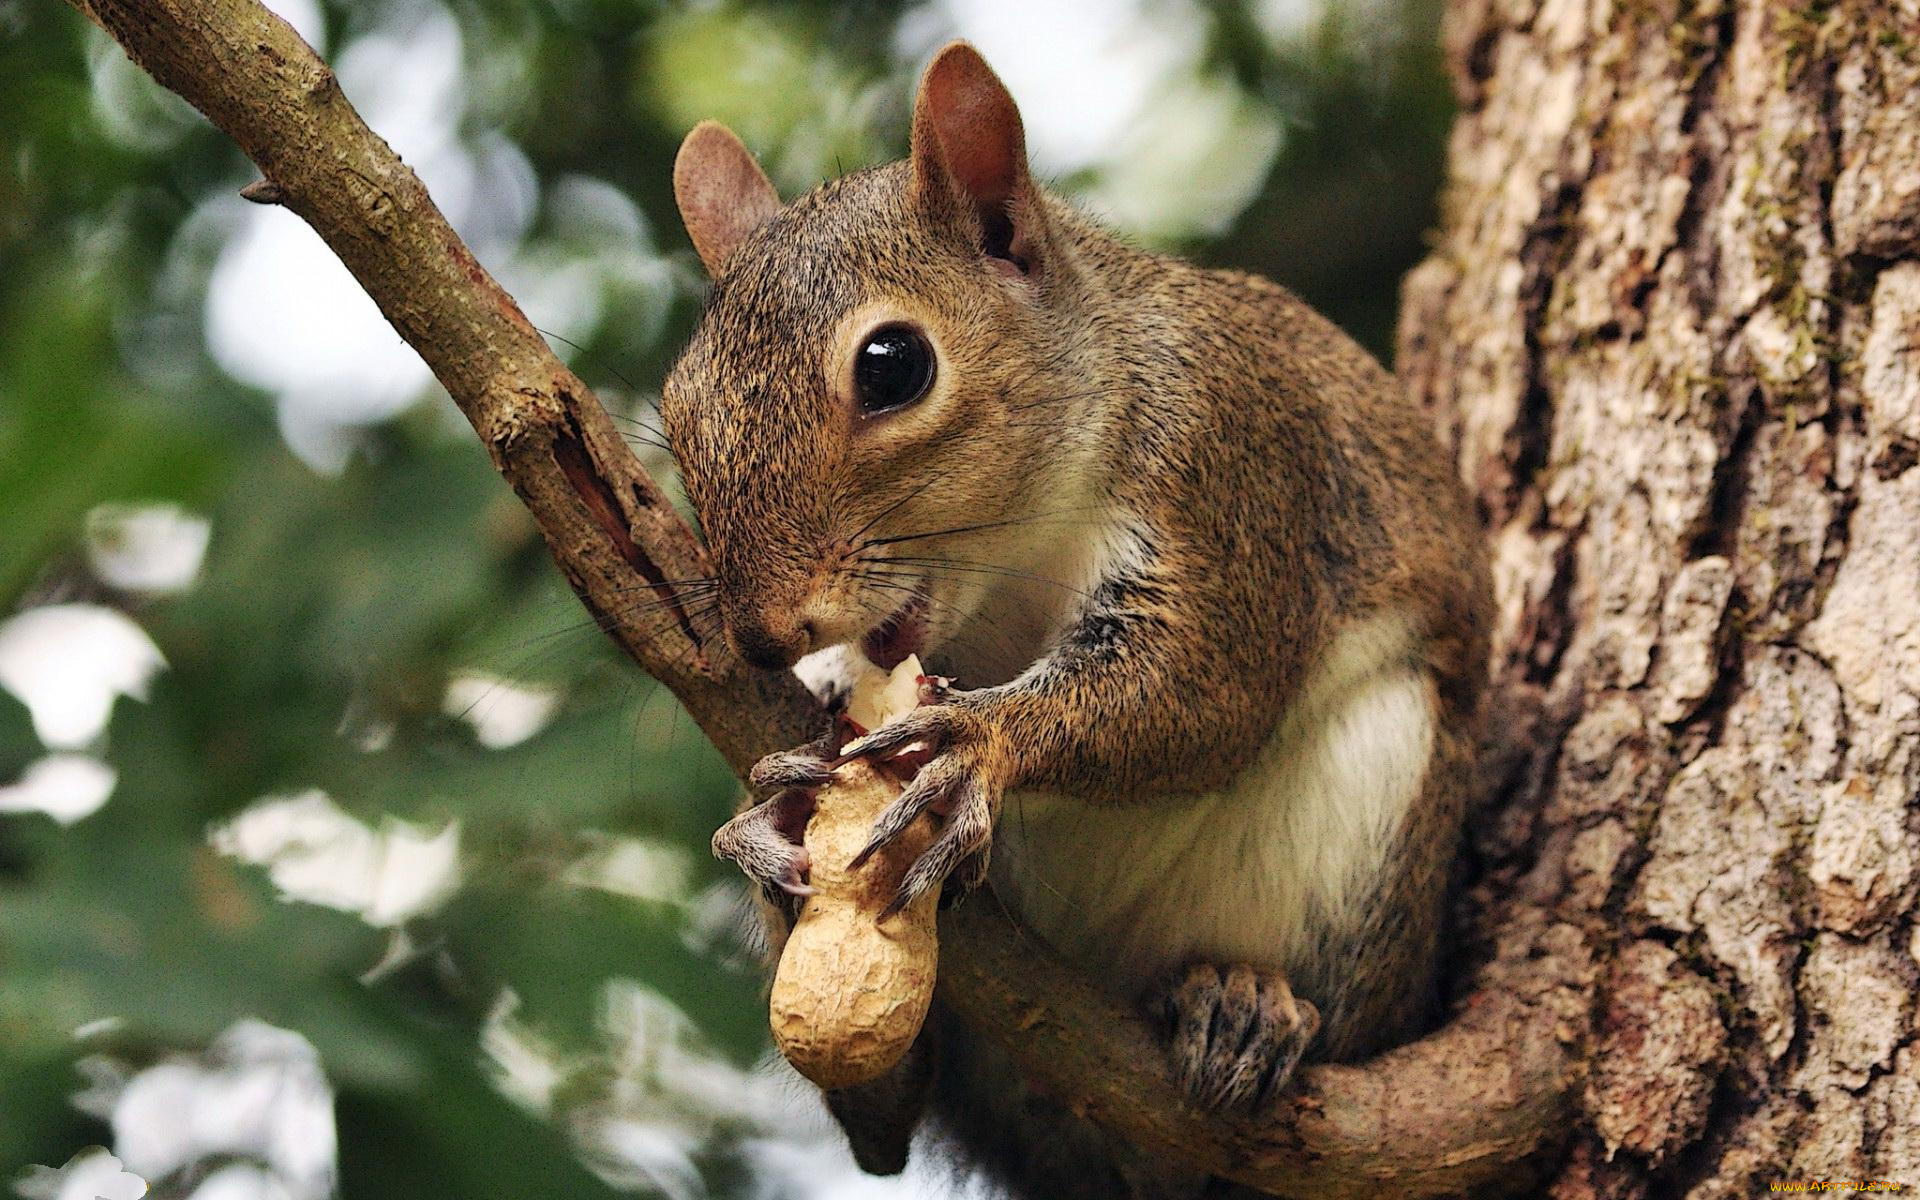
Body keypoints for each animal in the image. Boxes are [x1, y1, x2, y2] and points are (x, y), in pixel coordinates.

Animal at [668, 37, 1489, 1198]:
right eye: (678, 405)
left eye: (893, 366)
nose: (762, 635)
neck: (1013, 563)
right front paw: (775, 802)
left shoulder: (1229, 465)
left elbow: (1205, 686)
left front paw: (978, 743)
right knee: (883, 1116)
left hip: (1375, 823)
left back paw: (1245, 1005)